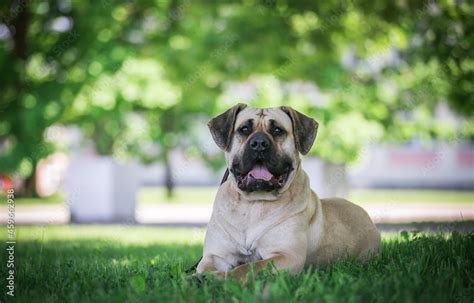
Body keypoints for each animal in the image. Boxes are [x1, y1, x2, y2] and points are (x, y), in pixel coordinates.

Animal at [196, 104, 382, 282]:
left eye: (278, 130)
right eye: (244, 129)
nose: (259, 143)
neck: (254, 203)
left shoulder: (287, 256)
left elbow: (247, 268)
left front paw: (217, 279)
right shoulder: (215, 256)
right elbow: (209, 267)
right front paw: (202, 278)